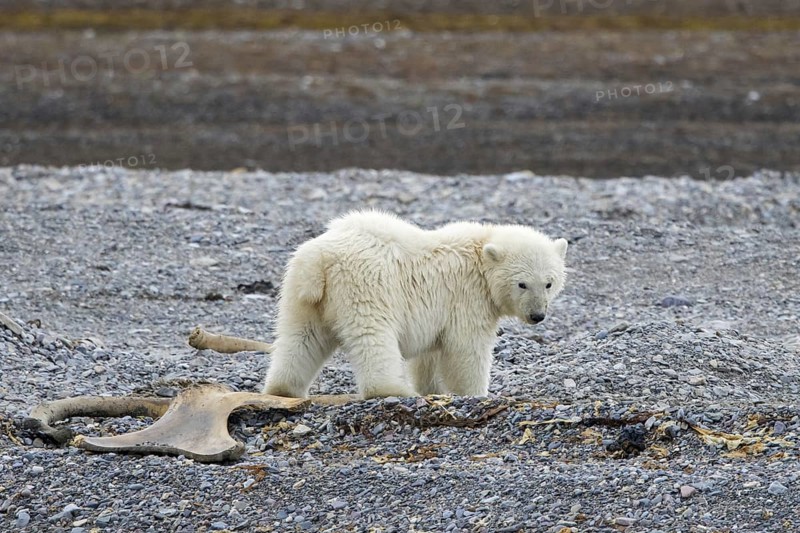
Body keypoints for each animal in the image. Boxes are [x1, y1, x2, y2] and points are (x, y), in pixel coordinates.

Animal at [263, 210, 568, 399]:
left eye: (549, 283)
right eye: (522, 284)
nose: (537, 315)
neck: (480, 254)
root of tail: (319, 260)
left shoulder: (437, 311)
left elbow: (429, 356)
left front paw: (431, 389)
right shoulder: (467, 298)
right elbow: (467, 348)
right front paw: (476, 393)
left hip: (302, 295)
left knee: (301, 337)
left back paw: (284, 388)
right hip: (365, 287)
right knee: (373, 337)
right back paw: (391, 389)